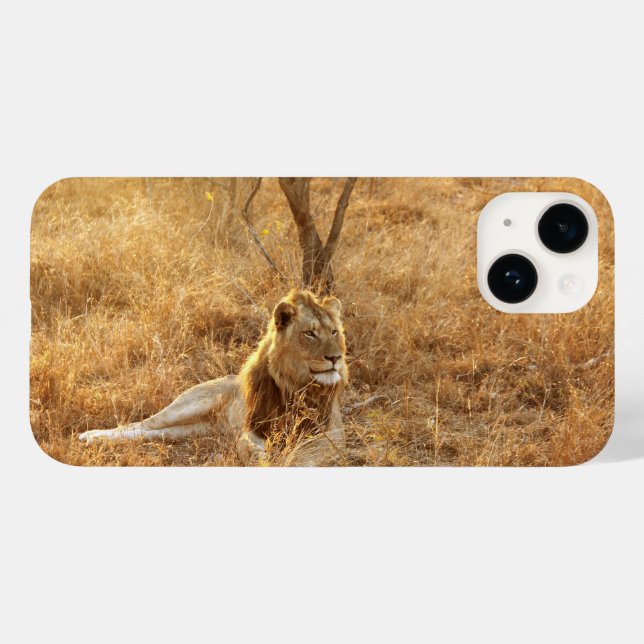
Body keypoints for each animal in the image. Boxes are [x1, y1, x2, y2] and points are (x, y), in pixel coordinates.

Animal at [78, 289, 348, 466]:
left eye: (334, 332)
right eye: (310, 333)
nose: (336, 358)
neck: (296, 384)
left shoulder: (332, 433)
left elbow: (304, 455)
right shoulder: (253, 428)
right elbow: (247, 447)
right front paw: (264, 459)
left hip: (194, 429)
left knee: (153, 433)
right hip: (188, 405)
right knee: (141, 424)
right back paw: (91, 436)